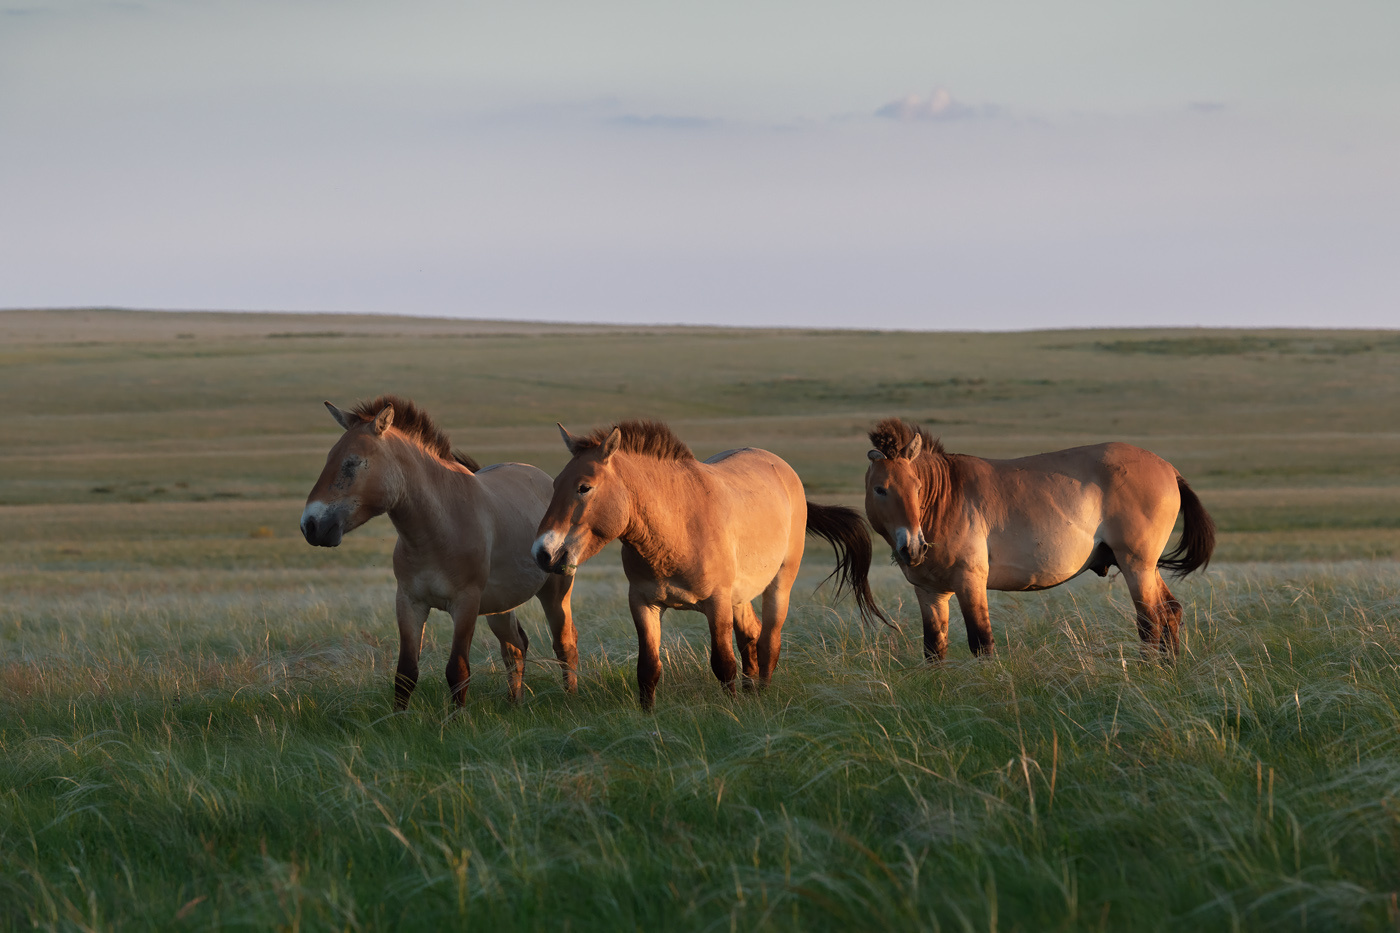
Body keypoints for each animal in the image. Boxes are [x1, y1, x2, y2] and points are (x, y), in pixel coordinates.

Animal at [300, 395, 578, 708]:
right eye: (329, 459)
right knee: (515, 648)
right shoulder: (409, 603)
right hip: (501, 606)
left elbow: (458, 670)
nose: (310, 525)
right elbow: (405, 673)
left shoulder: (465, 604)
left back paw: (570, 698)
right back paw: (514, 704)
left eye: (352, 463)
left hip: (556, 592)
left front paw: (457, 718)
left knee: (564, 644)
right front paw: (398, 718)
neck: (435, 531)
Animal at [531, 420, 886, 709]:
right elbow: (648, 668)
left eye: (584, 487)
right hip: (739, 596)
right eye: (555, 485)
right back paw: (752, 691)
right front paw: (648, 717)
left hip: (779, 585)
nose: (543, 553)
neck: (677, 528)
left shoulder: (716, 604)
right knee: (751, 636)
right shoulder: (643, 603)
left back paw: (763, 695)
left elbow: (723, 664)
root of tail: (783, 469)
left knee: (769, 641)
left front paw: (733, 712)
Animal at [863, 418, 1215, 660]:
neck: (944, 500)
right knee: (1170, 613)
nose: (914, 547)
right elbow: (934, 649)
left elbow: (981, 642)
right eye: (880, 489)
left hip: (1136, 566)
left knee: (1150, 622)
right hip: (1147, 567)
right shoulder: (930, 593)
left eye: (917, 487)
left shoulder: (970, 582)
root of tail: (1167, 467)